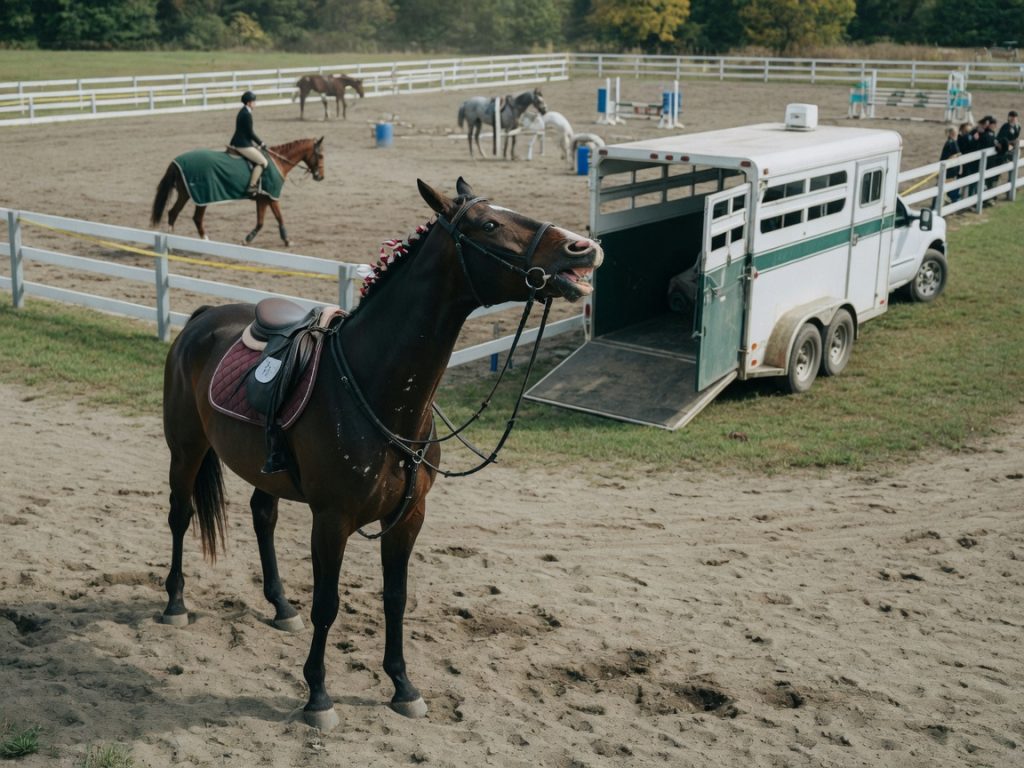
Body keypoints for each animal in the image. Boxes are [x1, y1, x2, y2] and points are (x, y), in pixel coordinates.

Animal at [150, 137, 324, 247]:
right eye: (321, 155)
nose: (320, 177)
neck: (278, 161)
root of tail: (176, 161)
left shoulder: (262, 198)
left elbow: (260, 222)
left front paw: (247, 239)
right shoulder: (272, 196)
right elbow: (279, 217)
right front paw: (287, 240)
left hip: (185, 194)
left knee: (173, 213)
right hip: (202, 196)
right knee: (195, 217)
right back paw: (201, 240)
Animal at [159, 177, 604, 731]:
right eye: (490, 224)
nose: (582, 248)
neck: (374, 386)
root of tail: (203, 317)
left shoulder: (408, 517)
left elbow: (396, 598)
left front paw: (402, 686)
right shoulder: (331, 519)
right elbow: (327, 604)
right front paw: (318, 696)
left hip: (264, 472)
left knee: (262, 516)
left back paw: (280, 605)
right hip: (186, 450)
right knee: (181, 516)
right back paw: (175, 602)